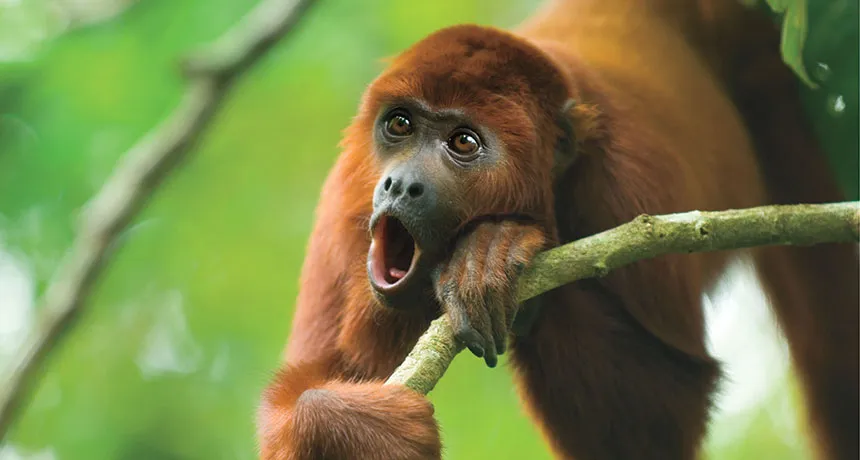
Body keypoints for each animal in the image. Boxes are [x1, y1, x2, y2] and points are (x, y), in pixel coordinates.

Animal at [257, 0, 859, 459]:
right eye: (399, 125)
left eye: (463, 143)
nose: (400, 186)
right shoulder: (346, 204)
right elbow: (308, 382)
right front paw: (355, 428)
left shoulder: (628, 187)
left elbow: (663, 409)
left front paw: (492, 252)